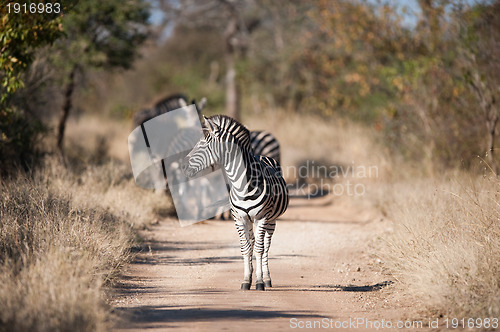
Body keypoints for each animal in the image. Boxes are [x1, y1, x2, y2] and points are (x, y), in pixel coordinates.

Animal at [182, 115, 290, 290]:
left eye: (203, 144)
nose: (182, 167)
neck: (242, 185)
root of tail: (261, 155)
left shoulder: (262, 217)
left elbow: (259, 250)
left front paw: (259, 282)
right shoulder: (239, 219)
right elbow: (246, 249)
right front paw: (246, 280)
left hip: (271, 220)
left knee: (266, 246)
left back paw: (267, 279)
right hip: (250, 221)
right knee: (252, 242)